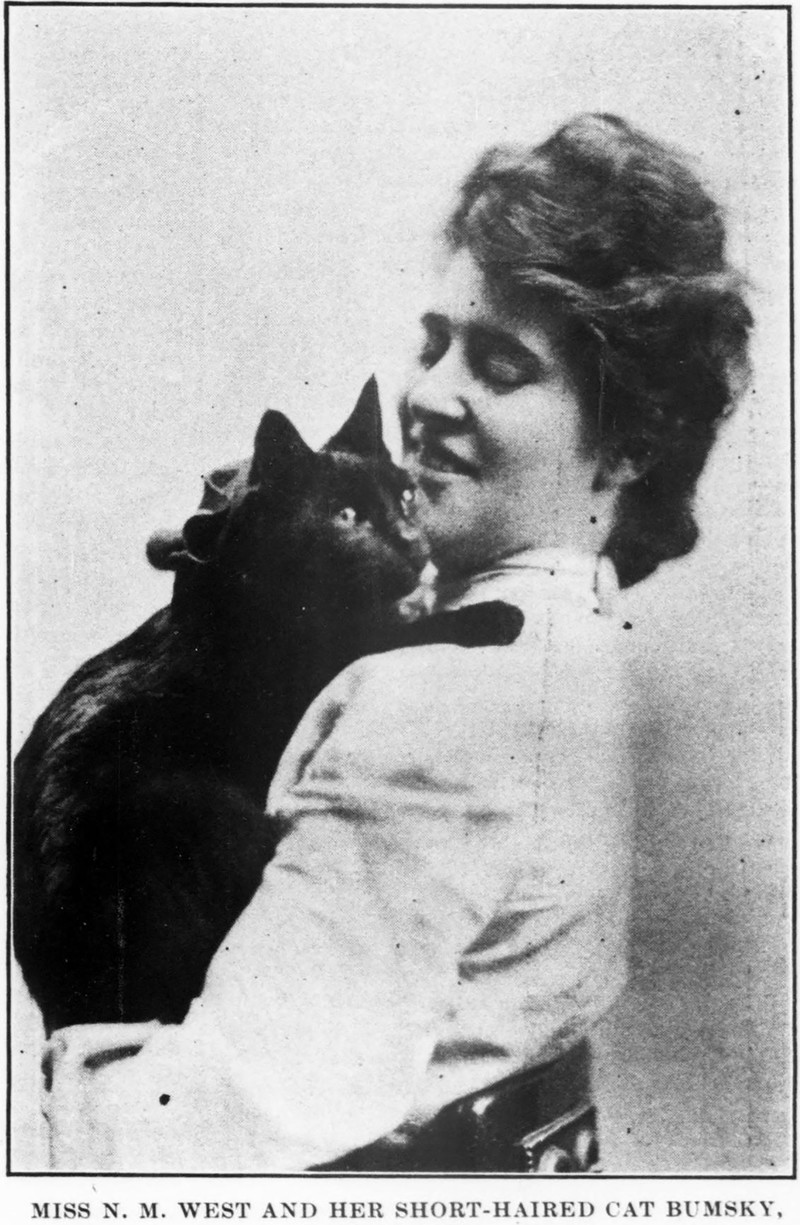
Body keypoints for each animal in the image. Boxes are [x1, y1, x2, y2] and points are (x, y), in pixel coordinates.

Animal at [14, 379, 523, 1034]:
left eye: (407, 496)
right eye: (346, 517)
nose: (413, 544)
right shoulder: (312, 667)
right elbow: (388, 636)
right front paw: (490, 615)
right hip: (197, 807)